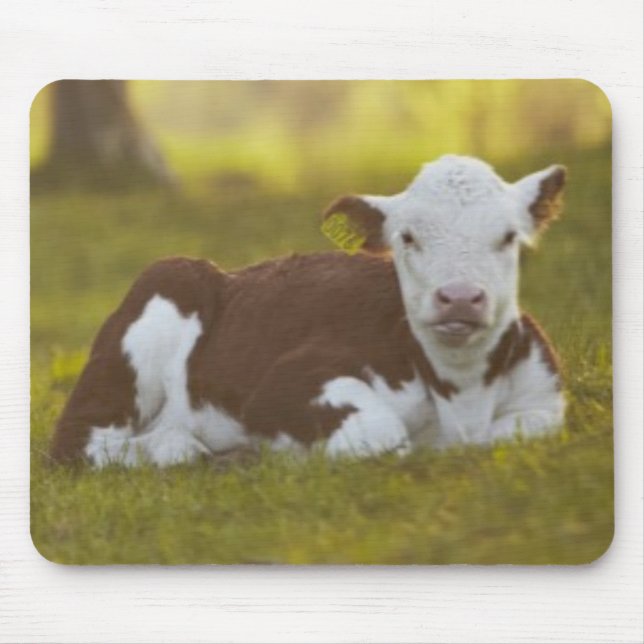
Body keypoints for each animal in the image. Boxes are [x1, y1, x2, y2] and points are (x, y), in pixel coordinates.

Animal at [50, 155, 566, 467]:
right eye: (407, 237)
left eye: (508, 236)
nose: (459, 297)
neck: (462, 397)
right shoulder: (285, 383)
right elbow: (382, 435)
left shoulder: (545, 399)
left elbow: (522, 431)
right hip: (158, 299)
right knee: (80, 443)